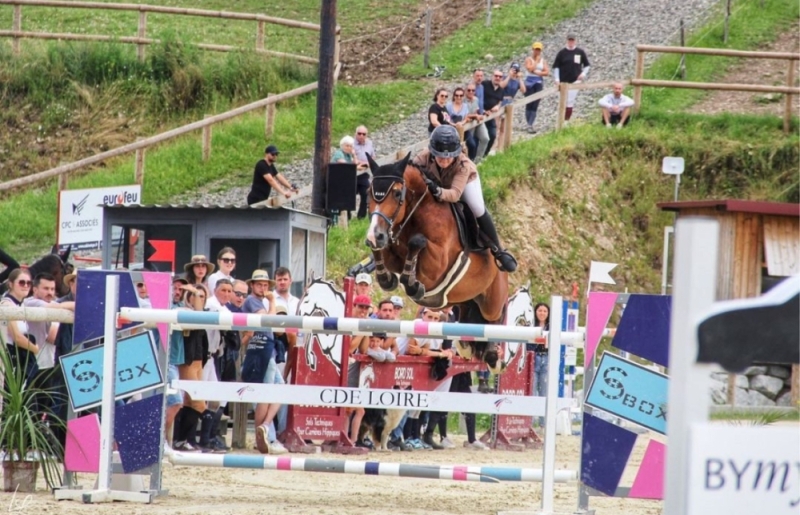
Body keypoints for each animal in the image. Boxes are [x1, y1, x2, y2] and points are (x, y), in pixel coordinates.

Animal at [366, 153, 510, 374]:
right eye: (369, 193)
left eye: (397, 194)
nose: (376, 234)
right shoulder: (392, 250)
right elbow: (384, 255)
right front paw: (387, 277)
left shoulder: (437, 264)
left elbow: (417, 242)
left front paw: (413, 285)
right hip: (465, 299)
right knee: (468, 319)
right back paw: (467, 346)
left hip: (492, 300)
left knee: (496, 317)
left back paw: (493, 356)